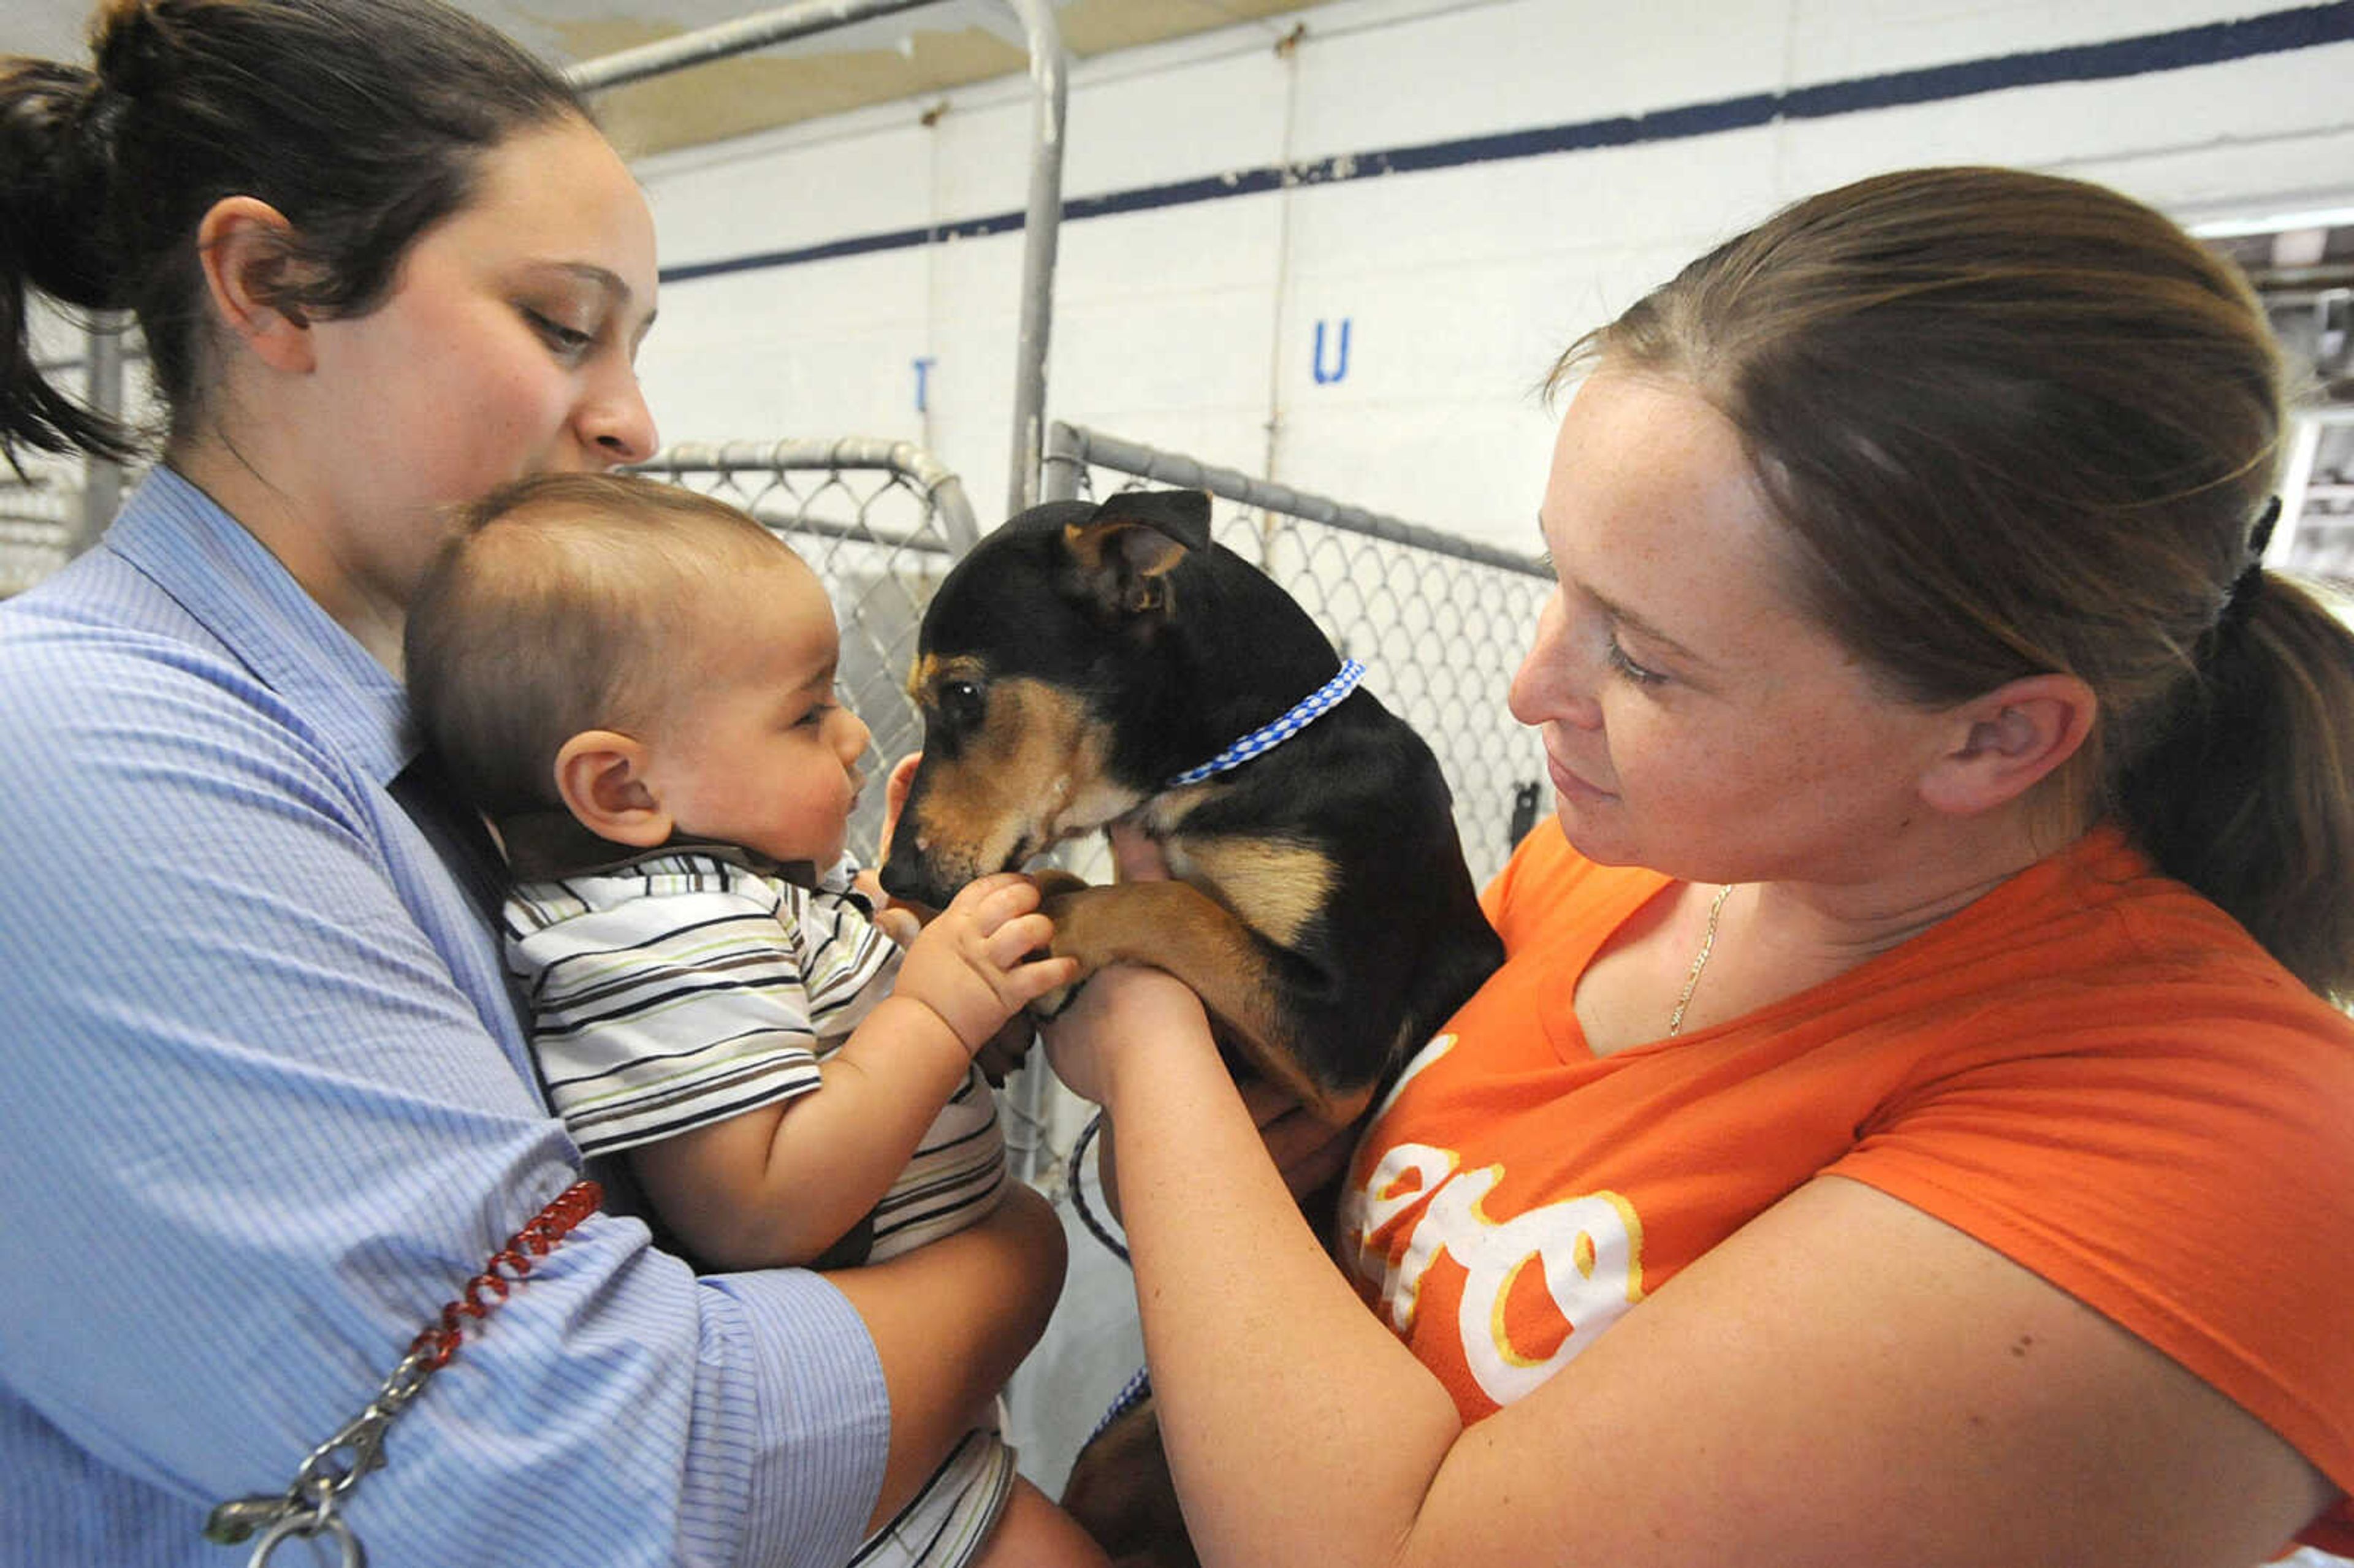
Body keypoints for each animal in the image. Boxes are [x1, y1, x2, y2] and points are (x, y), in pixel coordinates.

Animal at [875, 485, 1497, 1125]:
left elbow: (1173, 905)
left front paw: (1051, 929)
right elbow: (1067, 878)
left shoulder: (1345, 1044)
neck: (1235, 768)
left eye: (963, 693)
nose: (896, 878)